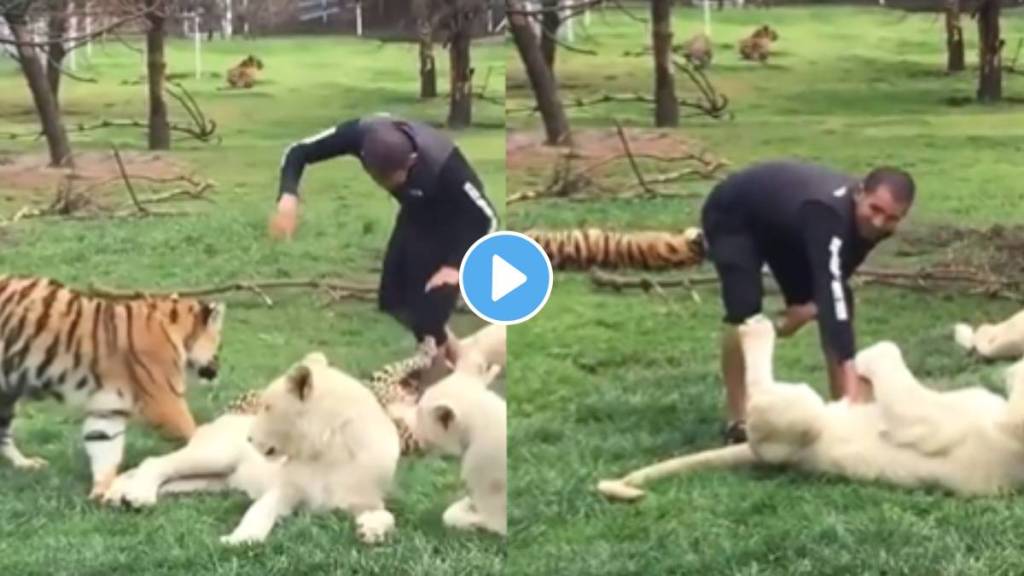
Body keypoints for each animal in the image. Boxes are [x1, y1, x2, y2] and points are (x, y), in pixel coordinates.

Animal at [0, 276, 226, 496]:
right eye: (218, 346)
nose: (217, 370)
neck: (175, 330)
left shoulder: (107, 409)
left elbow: (104, 446)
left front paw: (102, 490)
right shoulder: (165, 402)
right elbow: (194, 435)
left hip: (6, 395)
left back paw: (26, 464)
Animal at [102, 350, 399, 541]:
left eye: (267, 407)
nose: (249, 438)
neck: (330, 449)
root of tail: (215, 422)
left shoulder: (365, 499)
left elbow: (388, 516)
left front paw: (371, 530)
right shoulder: (286, 489)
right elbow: (260, 510)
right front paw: (241, 540)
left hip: (211, 480)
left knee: (166, 478)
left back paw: (118, 495)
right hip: (214, 456)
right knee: (155, 462)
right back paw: (137, 496)